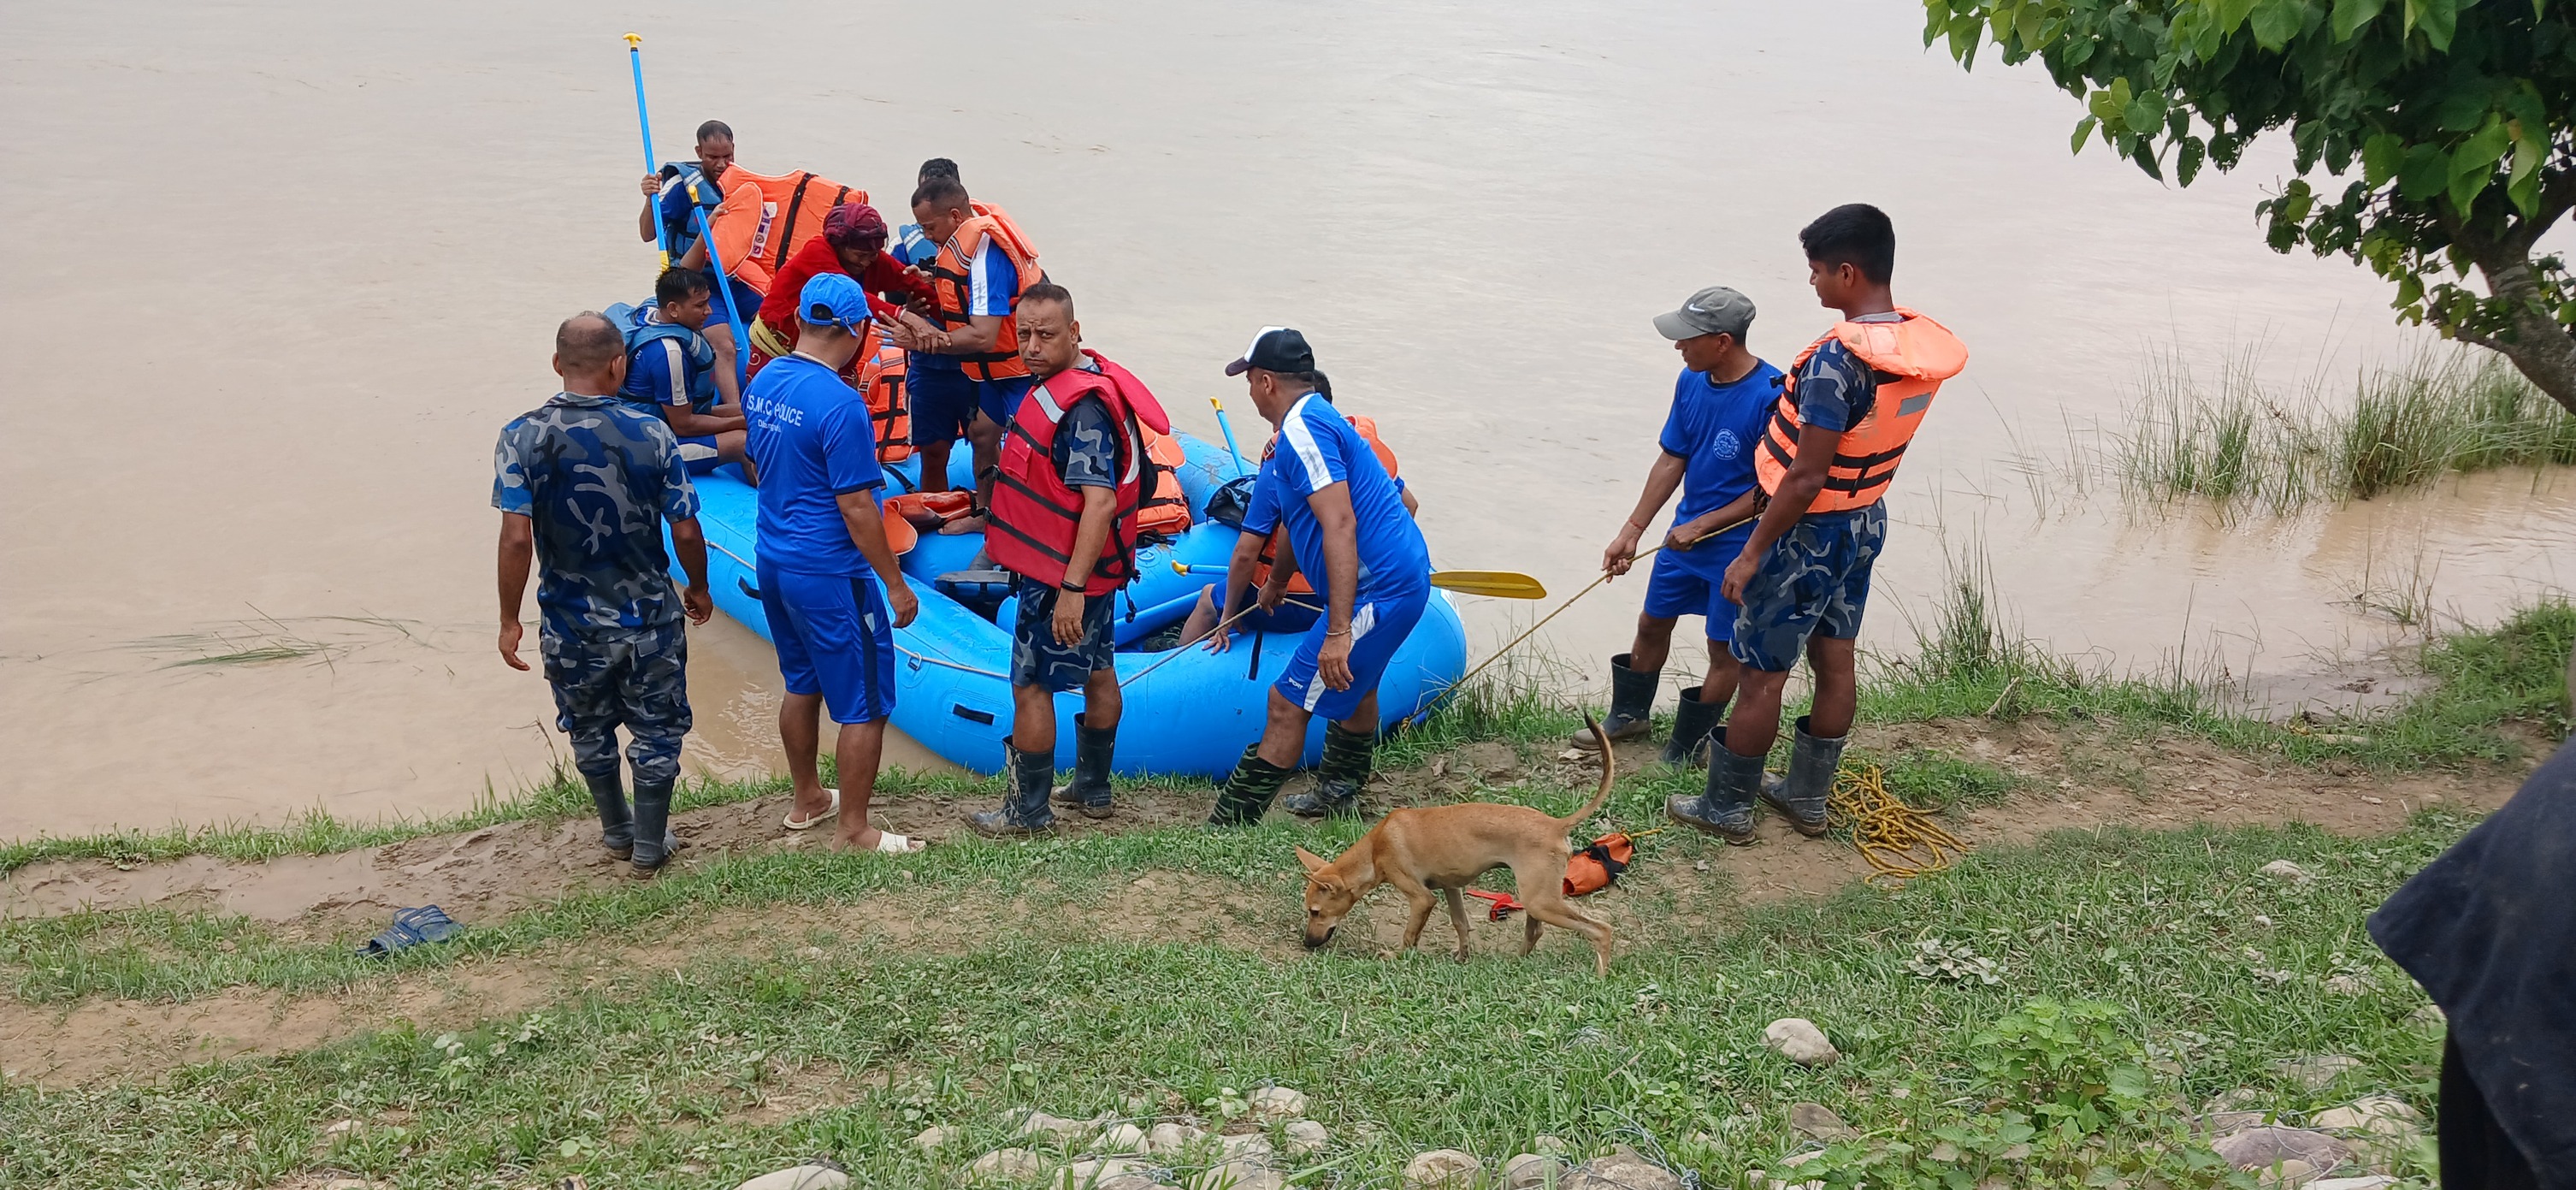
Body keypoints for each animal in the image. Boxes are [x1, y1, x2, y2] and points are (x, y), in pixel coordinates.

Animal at [1298, 716, 1617, 974]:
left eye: (1315, 912)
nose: (1307, 943)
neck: (1375, 847)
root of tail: (1556, 824)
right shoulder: (1451, 888)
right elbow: (1461, 924)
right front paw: (1463, 956)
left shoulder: (1422, 898)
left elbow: (1410, 935)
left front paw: (1397, 957)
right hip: (1536, 898)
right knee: (1535, 931)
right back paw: (1517, 962)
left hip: (1541, 901)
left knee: (1600, 929)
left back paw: (1600, 976)